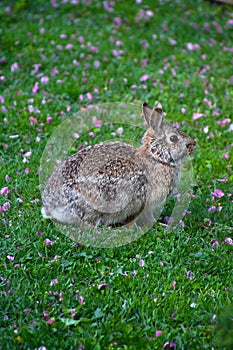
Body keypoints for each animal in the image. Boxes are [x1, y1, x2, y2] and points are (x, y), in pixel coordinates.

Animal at [41, 102, 195, 230]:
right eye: (173, 138)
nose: (193, 144)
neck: (156, 157)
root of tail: (51, 206)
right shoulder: (145, 203)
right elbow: (148, 217)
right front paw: (159, 225)